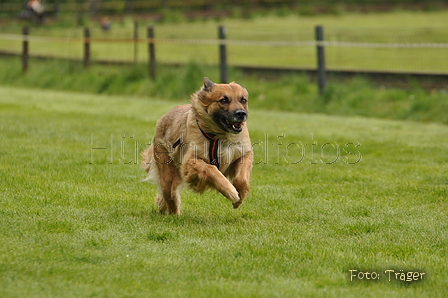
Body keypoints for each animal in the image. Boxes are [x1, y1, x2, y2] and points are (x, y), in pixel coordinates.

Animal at [142, 77, 252, 214]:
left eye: (243, 100)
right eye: (223, 100)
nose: (241, 114)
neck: (219, 136)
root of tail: (164, 117)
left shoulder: (242, 153)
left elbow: (241, 179)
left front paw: (240, 197)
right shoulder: (190, 162)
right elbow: (211, 168)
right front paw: (231, 192)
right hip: (168, 173)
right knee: (170, 195)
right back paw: (174, 214)